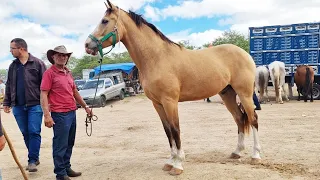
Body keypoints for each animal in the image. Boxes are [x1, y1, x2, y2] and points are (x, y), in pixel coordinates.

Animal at [84, 0, 262, 176]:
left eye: (105, 21)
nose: (87, 45)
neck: (157, 58)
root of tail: (244, 53)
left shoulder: (170, 101)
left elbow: (175, 129)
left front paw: (178, 165)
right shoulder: (157, 103)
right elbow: (167, 130)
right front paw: (170, 161)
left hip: (244, 93)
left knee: (253, 119)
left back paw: (255, 155)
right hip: (227, 94)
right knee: (239, 118)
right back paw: (237, 152)